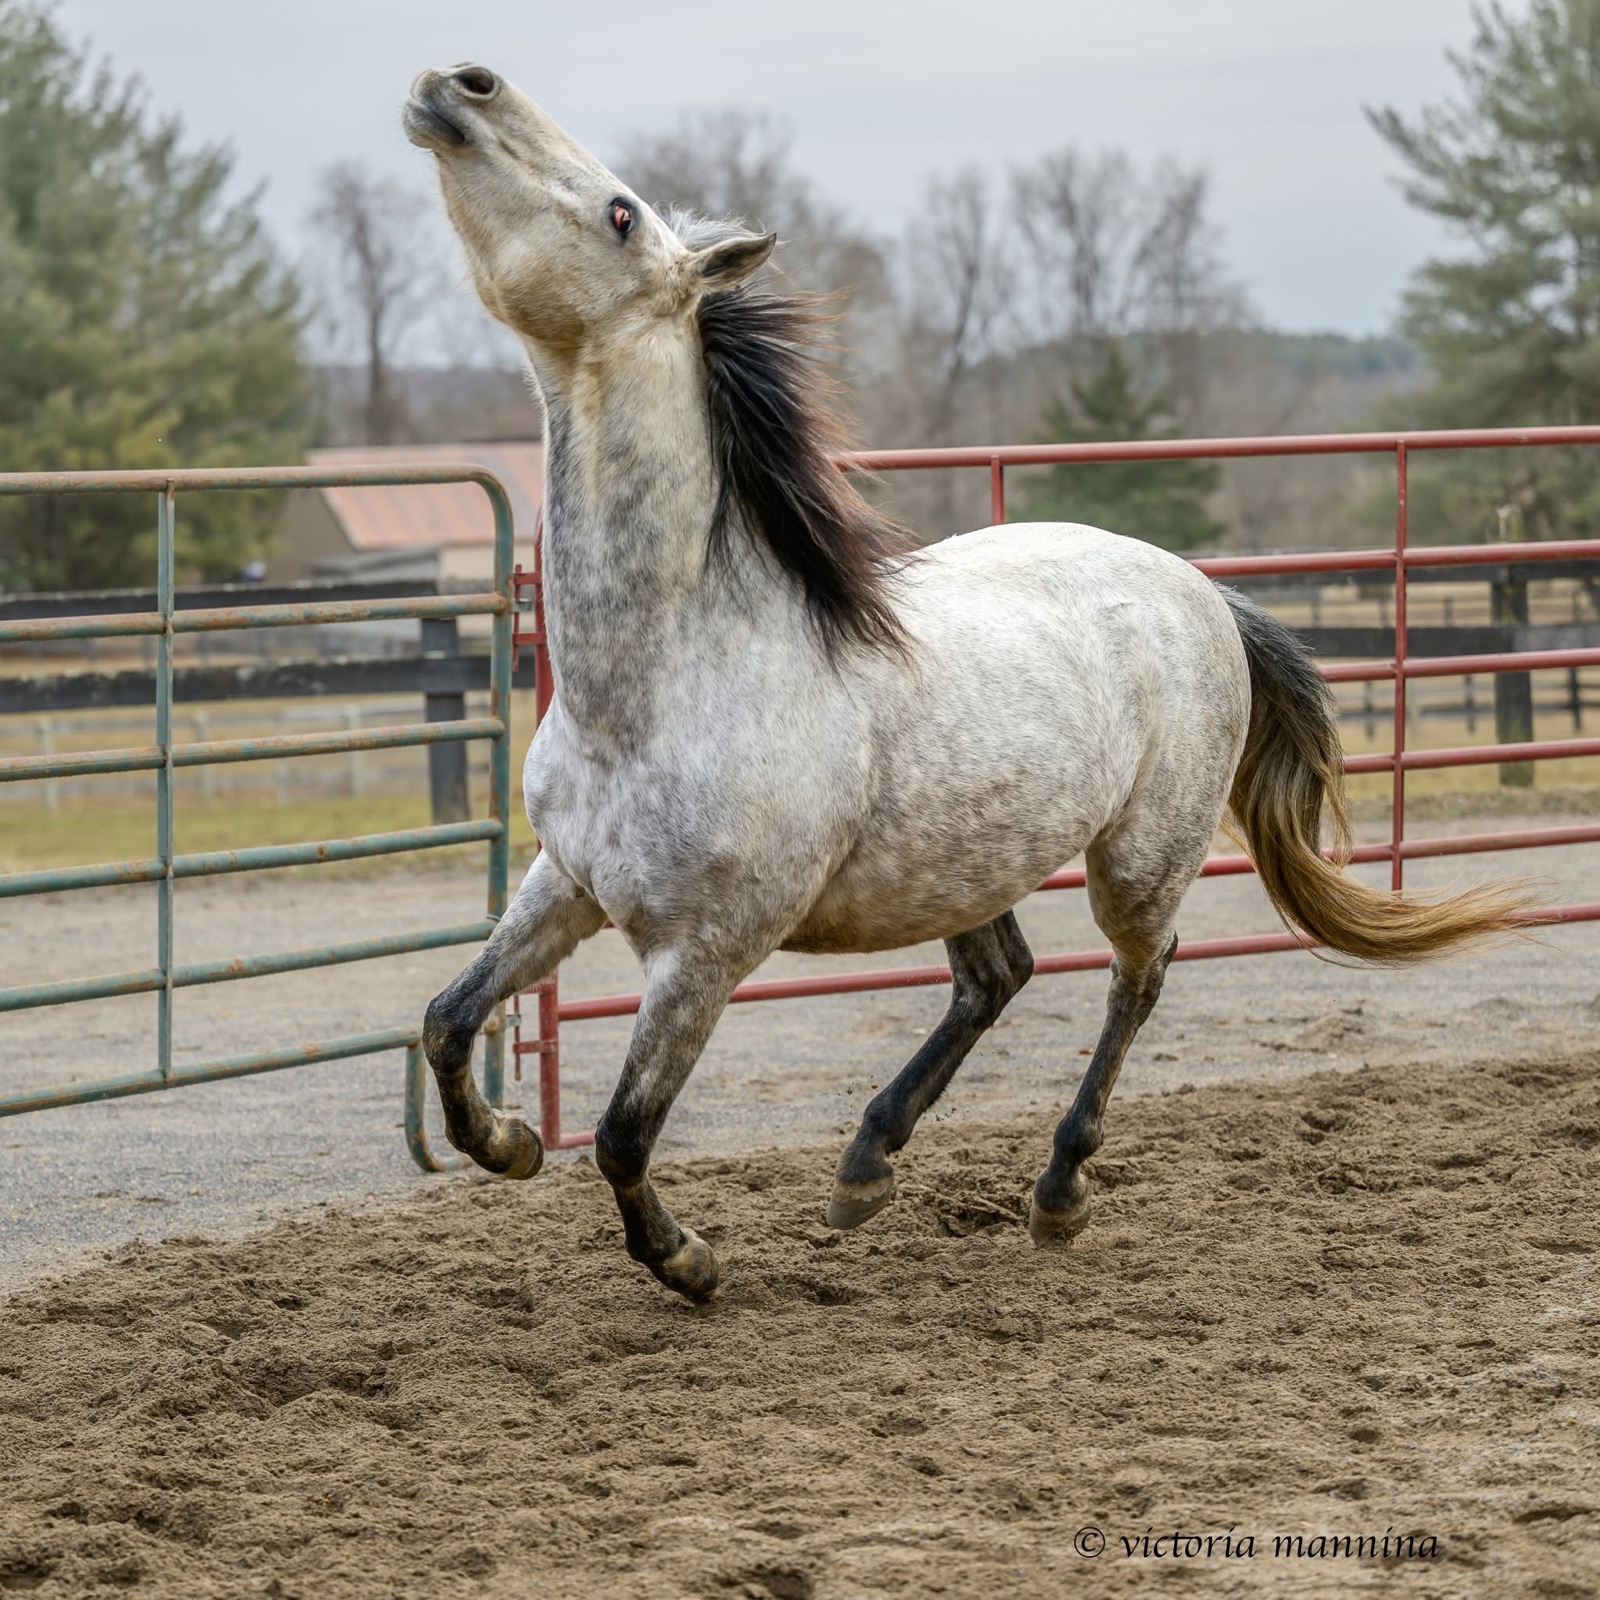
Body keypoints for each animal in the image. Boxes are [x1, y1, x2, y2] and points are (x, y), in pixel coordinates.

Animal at [403, 63, 1528, 1303]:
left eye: (618, 213)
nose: (460, 85)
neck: (672, 679)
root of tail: (1198, 587)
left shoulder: (705, 952)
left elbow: (621, 1130)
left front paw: (687, 1260)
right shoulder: (567, 880)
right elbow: (448, 1017)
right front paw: (505, 1143)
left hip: (1139, 861)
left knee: (1137, 979)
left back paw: (1056, 1189)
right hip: (965, 860)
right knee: (1000, 974)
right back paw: (865, 1163)